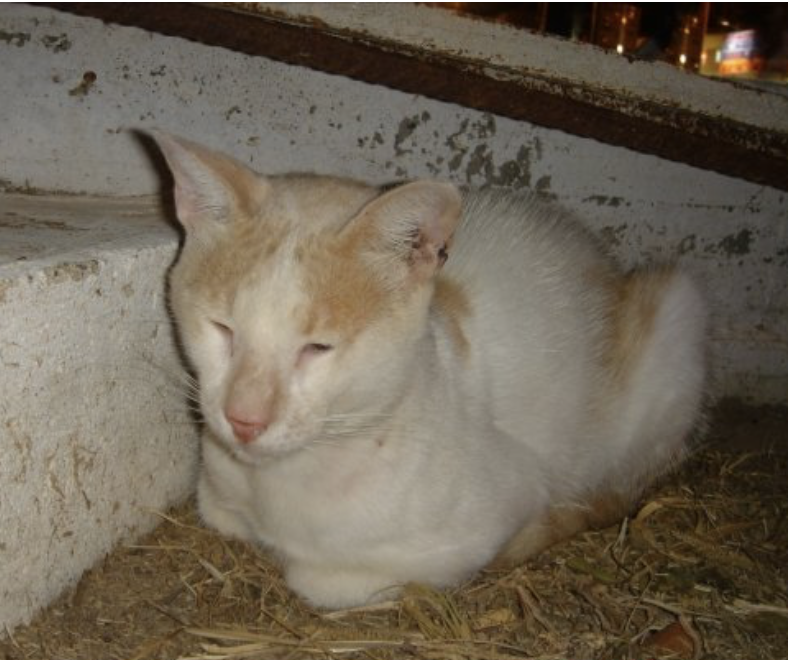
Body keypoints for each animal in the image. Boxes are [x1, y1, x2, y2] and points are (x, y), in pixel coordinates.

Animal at [152, 131, 708, 612]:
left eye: (317, 348)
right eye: (222, 329)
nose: (244, 419)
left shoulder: (498, 511)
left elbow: (323, 580)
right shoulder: (218, 498)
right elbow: (220, 514)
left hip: (676, 310)